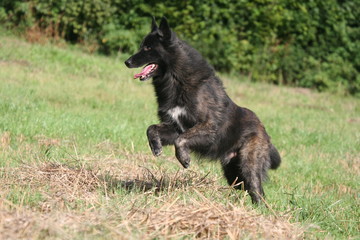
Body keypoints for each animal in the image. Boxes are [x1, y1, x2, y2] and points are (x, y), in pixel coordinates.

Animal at [124, 17, 282, 204]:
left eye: (148, 48)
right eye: (142, 46)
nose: (127, 62)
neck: (177, 80)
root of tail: (263, 129)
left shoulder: (207, 127)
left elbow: (181, 141)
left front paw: (184, 159)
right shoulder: (175, 127)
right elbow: (151, 129)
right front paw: (155, 147)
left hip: (248, 166)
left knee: (258, 192)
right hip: (233, 173)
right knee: (246, 188)